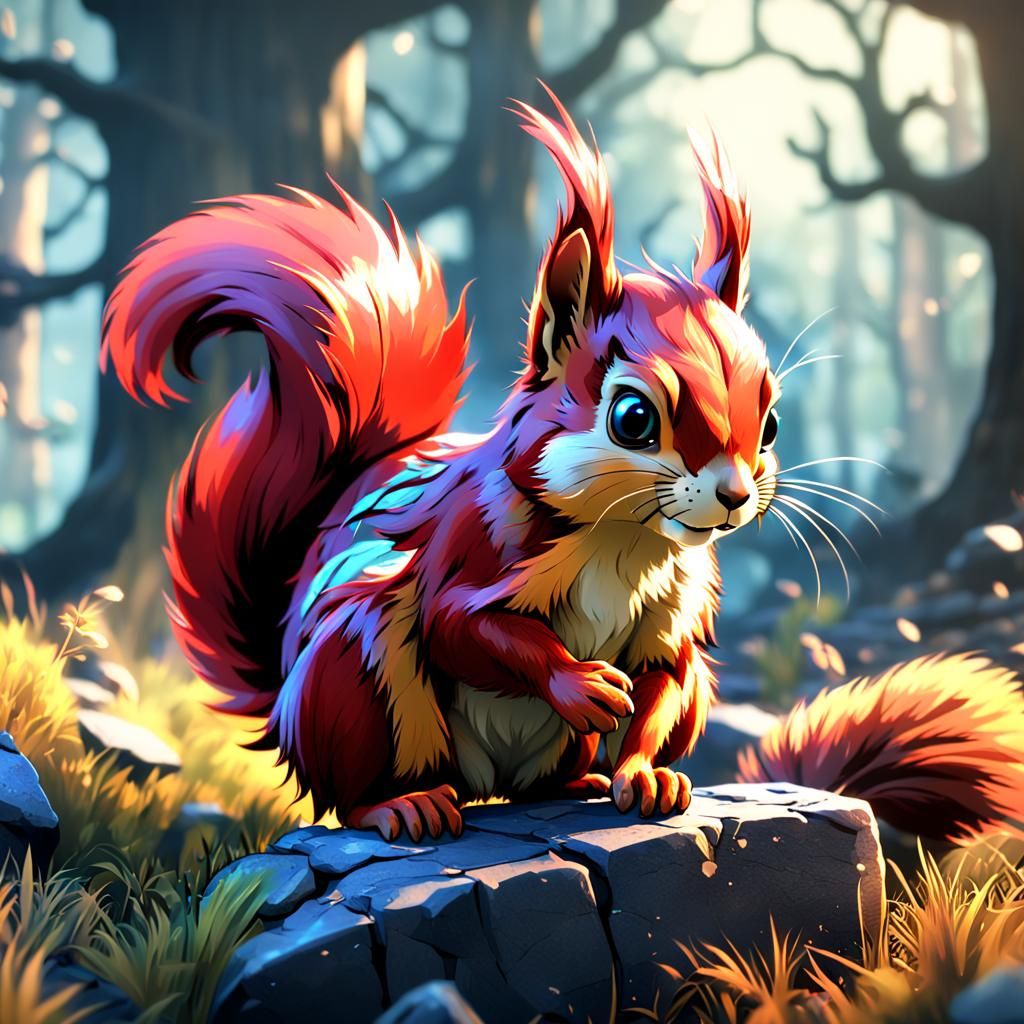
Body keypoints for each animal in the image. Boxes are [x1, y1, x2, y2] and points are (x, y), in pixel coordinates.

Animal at [100, 89, 1024, 845]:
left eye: (771, 422)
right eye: (633, 418)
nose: (732, 498)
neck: (626, 538)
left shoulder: (675, 620)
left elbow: (660, 682)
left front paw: (645, 771)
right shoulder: (470, 550)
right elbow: (463, 627)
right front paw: (580, 685)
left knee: (571, 763)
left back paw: (580, 781)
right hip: (353, 671)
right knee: (359, 781)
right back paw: (405, 805)